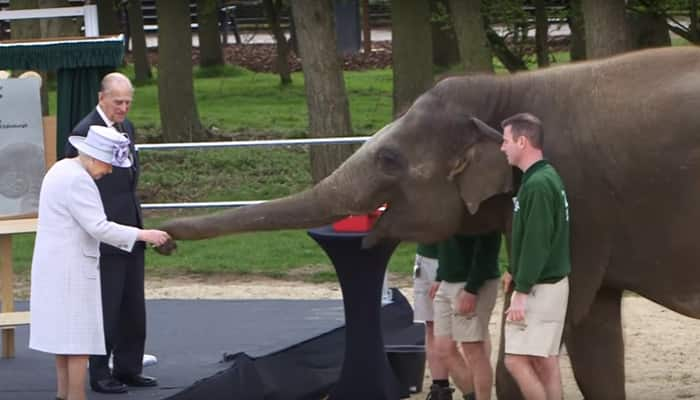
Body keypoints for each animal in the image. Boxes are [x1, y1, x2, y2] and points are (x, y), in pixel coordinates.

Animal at [159, 46, 700, 396]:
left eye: (389, 159)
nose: (163, 240)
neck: (506, 89)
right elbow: (596, 335)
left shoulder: (578, 204)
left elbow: (549, 333)